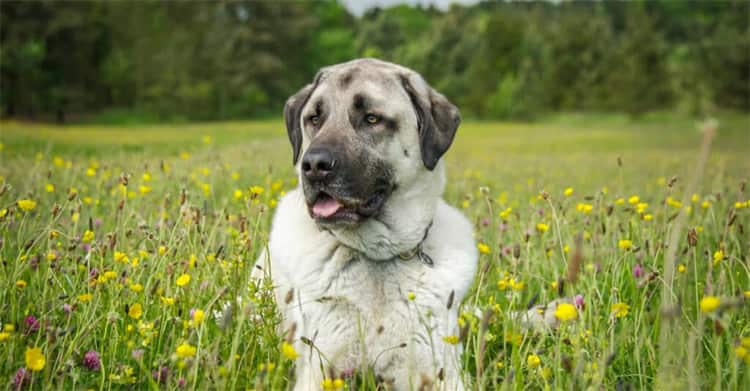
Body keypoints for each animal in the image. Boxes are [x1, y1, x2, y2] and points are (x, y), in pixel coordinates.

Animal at [256, 59, 478, 391]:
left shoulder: (441, 371)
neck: (378, 258)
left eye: (372, 118)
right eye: (314, 119)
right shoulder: (319, 369)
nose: (314, 166)